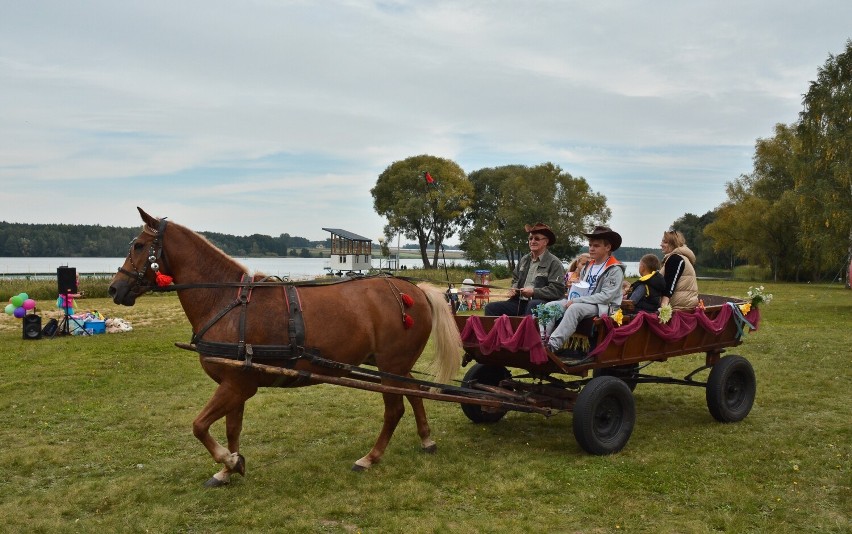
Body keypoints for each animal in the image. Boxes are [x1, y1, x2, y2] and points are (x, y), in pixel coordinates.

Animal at [112, 207, 462, 488]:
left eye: (139, 246)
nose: (114, 288)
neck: (227, 301)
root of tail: (414, 290)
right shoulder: (235, 383)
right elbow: (232, 429)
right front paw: (229, 468)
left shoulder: (236, 386)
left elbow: (199, 426)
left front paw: (229, 461)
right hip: (396, 366)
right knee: (415, 393)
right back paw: (426, 439)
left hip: (391, 366)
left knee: (395, 409)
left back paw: (370, 457)